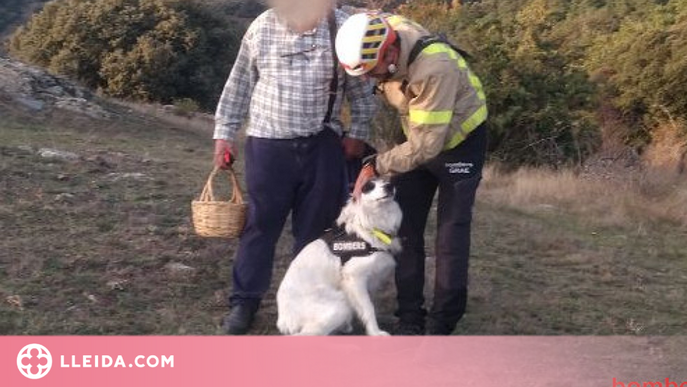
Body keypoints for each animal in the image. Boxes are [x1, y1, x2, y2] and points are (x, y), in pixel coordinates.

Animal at [276, 180, 404, 336]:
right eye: (369, 186)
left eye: (387, 181)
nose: (389, 186)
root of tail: (283, 320)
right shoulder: (355, 278)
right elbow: (369, 308)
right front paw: (375, 332)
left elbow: (368, 305)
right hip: (339, 305)